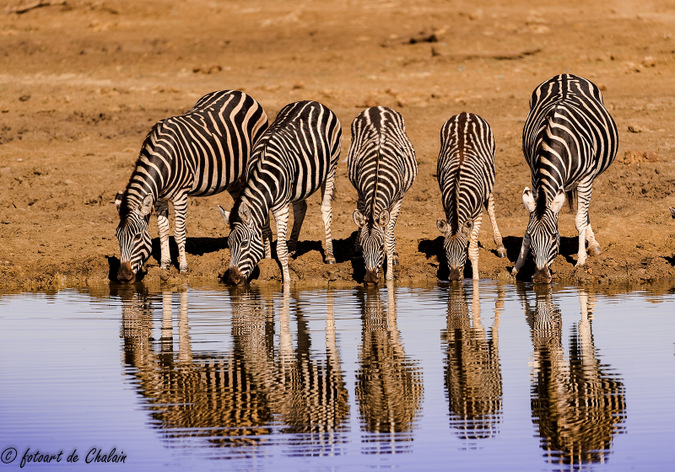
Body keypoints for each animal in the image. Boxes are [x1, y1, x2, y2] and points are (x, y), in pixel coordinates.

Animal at [115, 90, 268, 282]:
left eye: (136, 237)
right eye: (117, 237)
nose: (122, 276)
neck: (164, 160)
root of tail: (240, 92)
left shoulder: (181, 196)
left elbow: (179, 234)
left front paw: (183, 267)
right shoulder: (160, 199)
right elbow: (163, 231)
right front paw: (164, 266)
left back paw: (269, 258)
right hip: (233, 181)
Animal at [218, 100, 340, 286]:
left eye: (244, 244)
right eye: (228, 244)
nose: (232, 280)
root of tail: (313, 102)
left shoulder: (280, 206)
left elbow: (280, 248)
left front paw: (287, 280)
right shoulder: (263, 202)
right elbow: (265, 232)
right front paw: (268, 260)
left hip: (331, 167)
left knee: (326, 210)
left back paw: (330, 256)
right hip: (300, 183)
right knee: (301, 208)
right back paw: (293, 250)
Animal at [348, 106, 418, 284]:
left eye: (379, 248)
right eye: (365, 248)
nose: (370, 279)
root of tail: (376, 107)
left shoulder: (398, 199)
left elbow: (389, 236)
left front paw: (390, 270)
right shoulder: (364, 195)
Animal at [438, 111, 508, 280]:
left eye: (463, 248)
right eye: (445, 250)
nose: (454, 276)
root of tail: (464, 113)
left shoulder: (477, 214)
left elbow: (473, 251)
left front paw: (475, 279)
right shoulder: (447, 208)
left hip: (489, 177)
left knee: (490, 205)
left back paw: (500, 246)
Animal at [516, 73, 620, 280]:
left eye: (554, 236)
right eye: (531, 236)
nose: (540, 276)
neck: (553, 141)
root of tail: (564, 75)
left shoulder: (586, 177)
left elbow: (579, 220)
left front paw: (580, 260)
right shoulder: (535, 177)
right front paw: (519, 264)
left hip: (587, 179)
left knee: (583, 212)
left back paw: (593, 245)